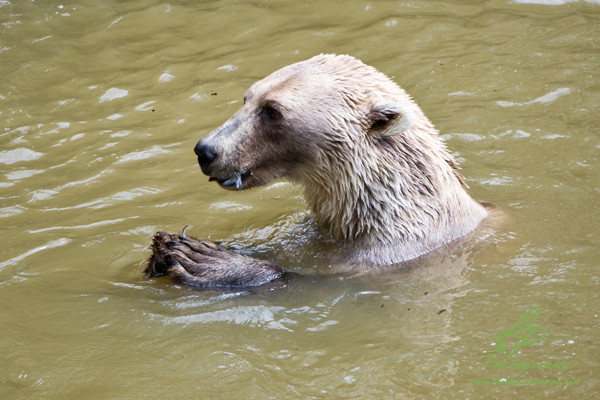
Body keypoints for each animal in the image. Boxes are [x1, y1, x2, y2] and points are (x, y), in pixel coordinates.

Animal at [145, 54, 488, 290]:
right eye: (247, 98)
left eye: (273, 111)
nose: (206, 150)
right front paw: (168, 247)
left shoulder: (392, 256)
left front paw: (201, 258)